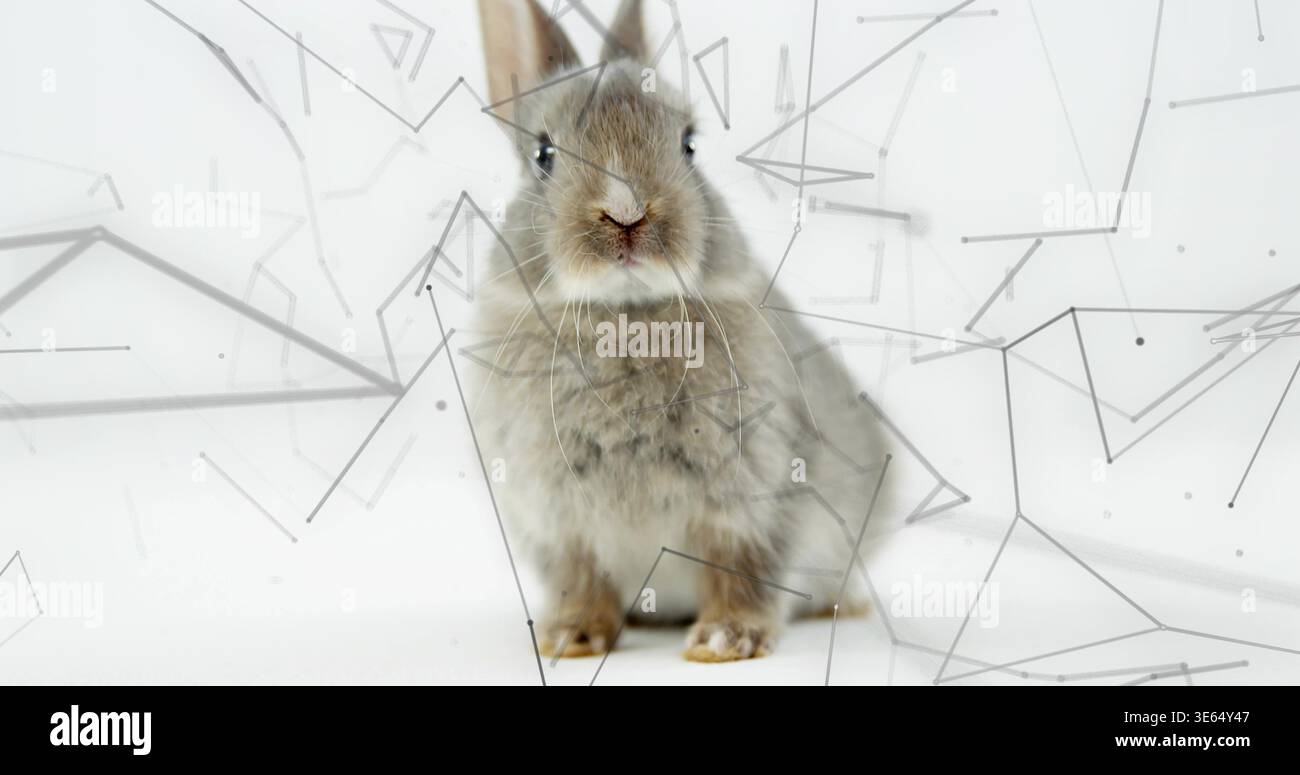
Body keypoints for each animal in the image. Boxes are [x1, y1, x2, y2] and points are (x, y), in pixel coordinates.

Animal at [471, 0, 891, 662]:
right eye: (544, 154)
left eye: (689, 145)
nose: (627, 215)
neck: (624, 319)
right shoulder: (557, 525)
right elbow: (582, 582)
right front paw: (570, 638)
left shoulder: (755, 501)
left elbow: (741, 571)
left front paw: (725, 640)